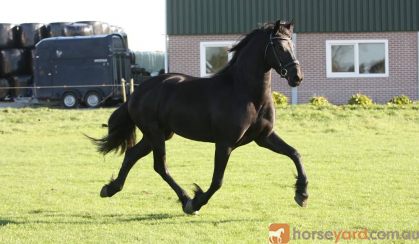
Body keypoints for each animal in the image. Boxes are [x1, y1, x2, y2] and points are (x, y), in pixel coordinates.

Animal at [92, 20, 308, 214]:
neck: (245, 93)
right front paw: (197, 202)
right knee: (160, 166)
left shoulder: (264, 137)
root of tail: (137, 92)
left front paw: (302, 195)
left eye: (292, 45)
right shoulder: (225, 143)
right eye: (279, 46)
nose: (297, 77)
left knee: (132, 155)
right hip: (155, 134)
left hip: (159, 134)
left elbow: (295, 153)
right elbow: (217, 181)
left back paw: (110, 188)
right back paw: (186, 201)